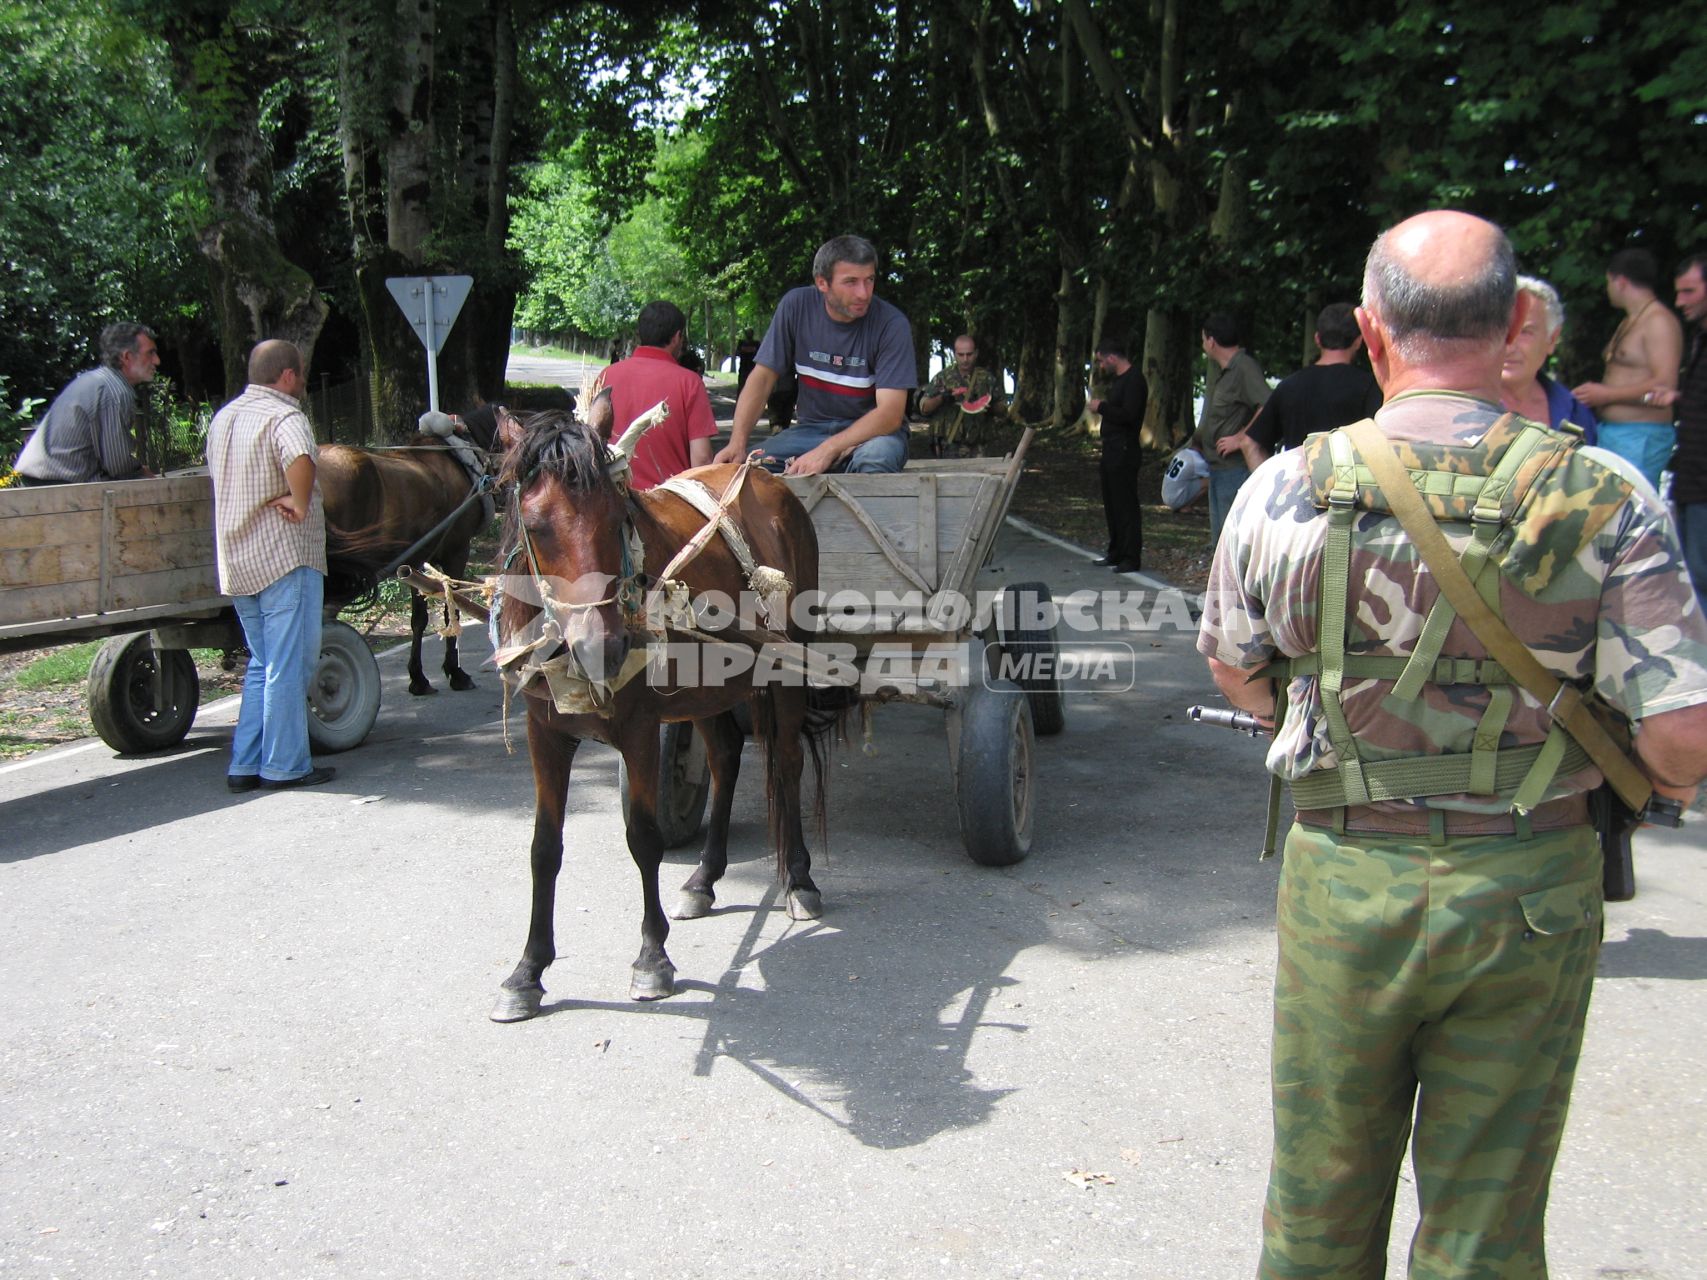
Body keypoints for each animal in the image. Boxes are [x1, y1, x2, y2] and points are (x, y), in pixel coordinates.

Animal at [320, 426, 495, 696]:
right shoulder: (457, 552)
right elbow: (451, 610)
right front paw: (456, 673)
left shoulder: (416, 561)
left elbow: (419, 620)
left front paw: (418, 678)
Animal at [488, 406, 833, 1030]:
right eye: (536, 523)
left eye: (618, 516)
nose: (603, 649)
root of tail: (764, 477)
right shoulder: (543, 734)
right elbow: (544, 849)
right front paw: (527, 971)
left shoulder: (640, 732)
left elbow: (644, 839)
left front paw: (652, 958)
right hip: (709, 688)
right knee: (724, 760)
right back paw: (705, 877)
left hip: (787, 666)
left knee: (789, 764)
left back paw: (798, 879)